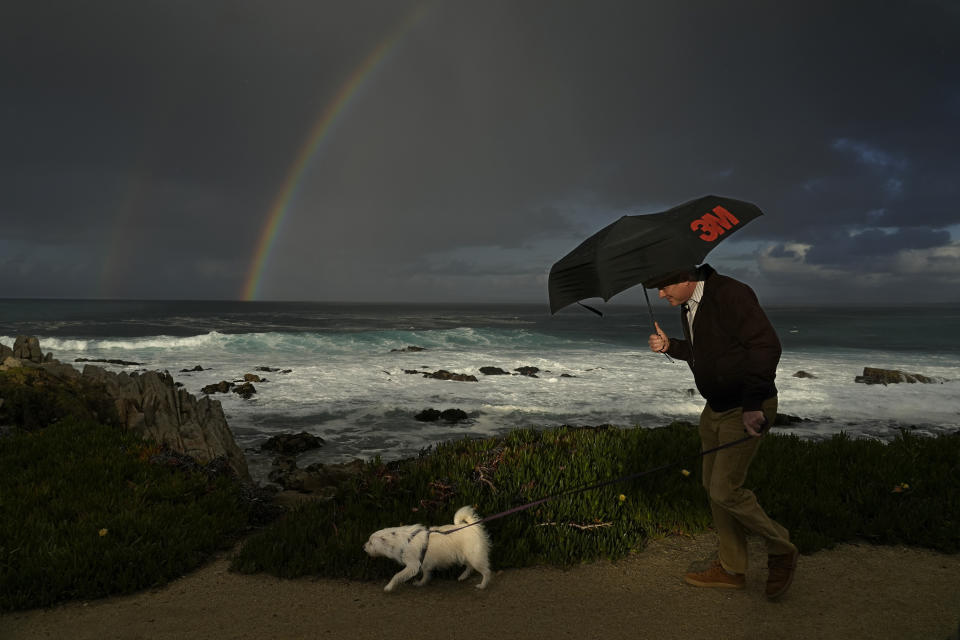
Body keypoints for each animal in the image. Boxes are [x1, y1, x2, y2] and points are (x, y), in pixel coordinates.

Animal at [364, 504, 492, 592]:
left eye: (370, 542)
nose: (363, 547)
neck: (402, 541)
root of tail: (472, 526)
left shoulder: (412, 565)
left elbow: (396, 576)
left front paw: (389, 587)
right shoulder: (424, 563)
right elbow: (425, 574)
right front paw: (421, 583)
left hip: (474, 556)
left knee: (486, 572)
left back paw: (483, 585)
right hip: (465, 556)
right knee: (469, 566)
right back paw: (463, 576)